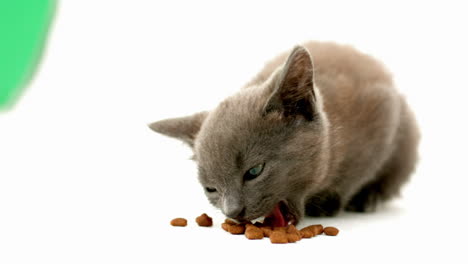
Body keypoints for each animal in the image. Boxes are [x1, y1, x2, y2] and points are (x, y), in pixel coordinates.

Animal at [149, 41, 420, 227]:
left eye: (254, 171)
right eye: (211, 189)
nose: (232, 212)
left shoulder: (384, 111)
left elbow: (361, 170)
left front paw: (331, 201)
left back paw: (369, 197)